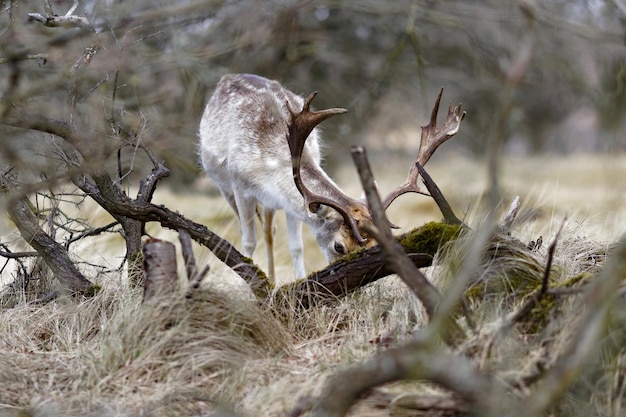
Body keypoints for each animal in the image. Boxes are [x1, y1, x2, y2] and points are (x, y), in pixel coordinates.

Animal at [200, 72, 464, 280]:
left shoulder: (287, 202)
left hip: (268, 206)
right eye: (338, 246)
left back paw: (273, 279)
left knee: (270, 231)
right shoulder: (240, 186)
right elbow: (248, 241)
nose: (353, 281)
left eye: (374, 245)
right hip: (222, 184)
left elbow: (296, 247)